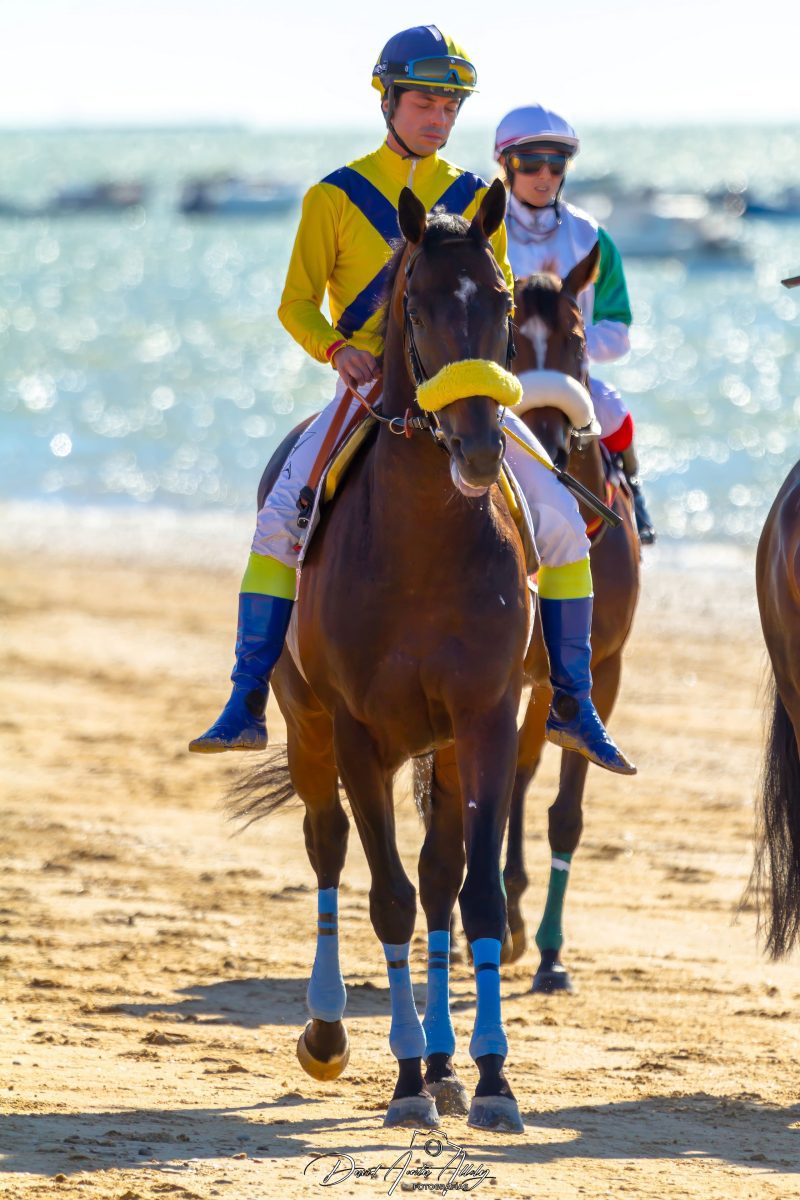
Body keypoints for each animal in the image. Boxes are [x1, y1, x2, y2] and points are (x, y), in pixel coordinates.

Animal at [234, 180, 530, 1131]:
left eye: (503, 302)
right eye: (420, 307)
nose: (478, 446)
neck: (423, 541)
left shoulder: (484, 718)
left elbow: (469, 891)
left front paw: (489, 1075)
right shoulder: (357, 731)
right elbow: (388, 898)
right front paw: (402, 1080)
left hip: (438, 745)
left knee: (440, 877)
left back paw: (444, 1060)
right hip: (307, 725)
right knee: (328, 847)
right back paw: (331, 1034)